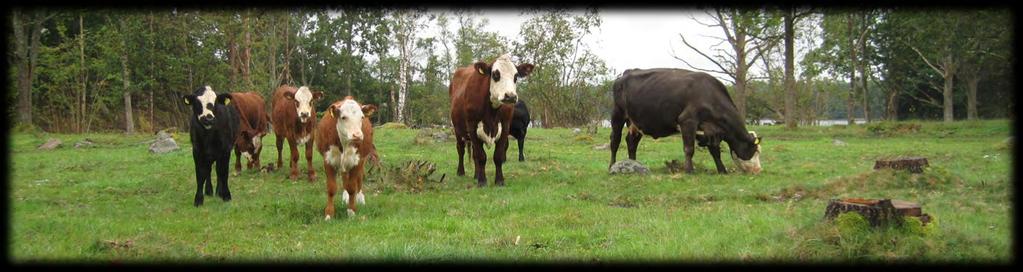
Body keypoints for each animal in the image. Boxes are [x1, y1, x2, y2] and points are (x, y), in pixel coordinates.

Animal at [454, 54, 540, 188]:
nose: (510, 96)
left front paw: (499, 180)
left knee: (473, 154)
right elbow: (481, 156)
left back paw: (476, 175)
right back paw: (461, 172)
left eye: (516, 76)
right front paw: (482, 181)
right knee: (461, 149)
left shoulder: (505, 127)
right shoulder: (472, 127)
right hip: (457, 129)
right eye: (495, 74)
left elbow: (498, 155)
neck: (492, 112)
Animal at [605, 68, 761, 173]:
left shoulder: (710, 131)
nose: (758, 170)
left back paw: (634, 164)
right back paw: (612, 166)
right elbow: (689, 149)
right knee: (615, 141)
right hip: (617, 114)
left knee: (632, 142)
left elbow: (715, 151)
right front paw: (689, 170)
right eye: (755, 150)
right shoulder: (687, 121)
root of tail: (628, 72)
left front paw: (722, 170)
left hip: (637, 122)